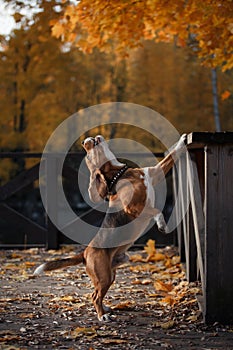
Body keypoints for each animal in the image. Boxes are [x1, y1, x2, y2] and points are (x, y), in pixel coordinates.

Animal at [34, 134, 187, 322]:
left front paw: (182, 141)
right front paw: (162, 224)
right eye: (88, 154)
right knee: (94, 296)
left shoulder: (155, 172)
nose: (84, 141)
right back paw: (102, 316)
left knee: (97, 294)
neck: (119, 174)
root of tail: (85, 252)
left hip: (111, 273)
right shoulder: (134, 208)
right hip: (104, 276)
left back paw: (106, 308)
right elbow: (156, 210)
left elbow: (171, 156)